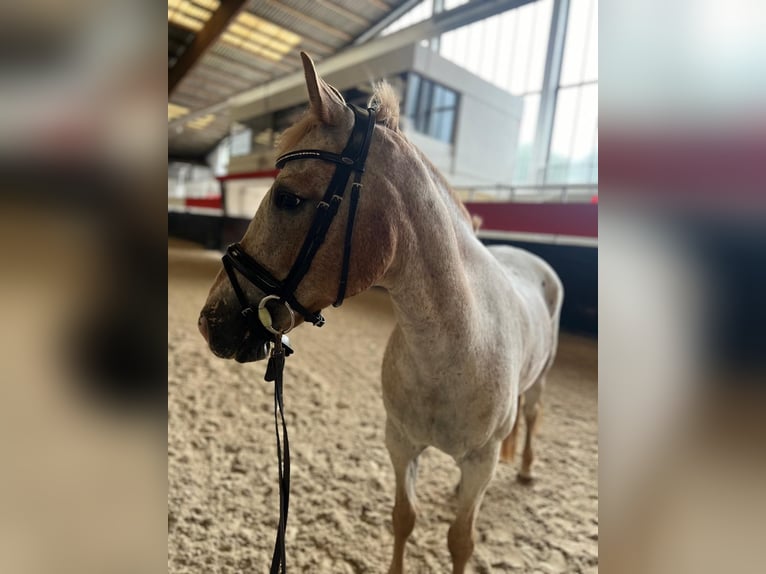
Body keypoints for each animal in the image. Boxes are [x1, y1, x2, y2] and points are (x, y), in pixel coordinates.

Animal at [200, 51, 564, 572]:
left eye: (288, 197)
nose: (211, 321)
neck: (453, 349)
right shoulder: (401, 444)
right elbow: (403, 519)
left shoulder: (482, 461)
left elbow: (460, 540)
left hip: (537, 385)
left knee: (532, 415)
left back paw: (529, 470)